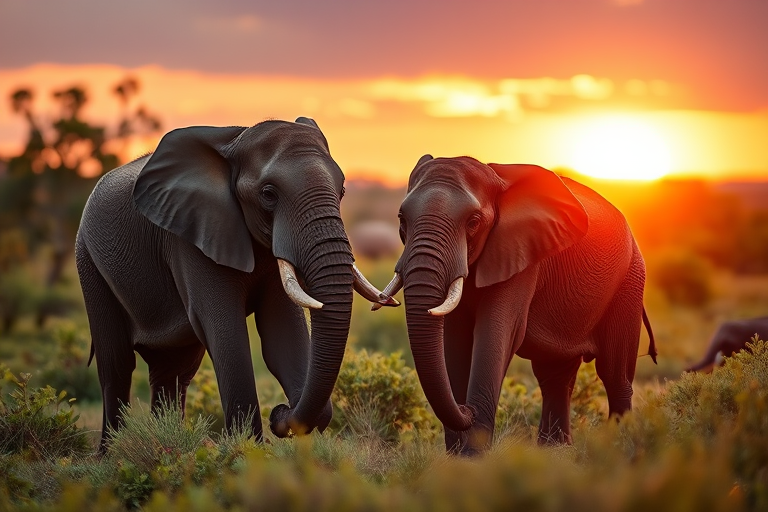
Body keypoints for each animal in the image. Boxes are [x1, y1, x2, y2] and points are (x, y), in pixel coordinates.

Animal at [75, 117, 397, 451]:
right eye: (268, 194)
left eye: (343, 190)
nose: (279, 412)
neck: (236, 141)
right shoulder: (190, 237)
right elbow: (226, 331)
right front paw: (248, 451)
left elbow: (281, 335)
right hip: (88, 260)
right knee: (117, 366)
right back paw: (110, 453)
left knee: (173, 370)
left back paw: (167, 442)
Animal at [375, 155, 657, 455]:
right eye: (402, 219)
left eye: (473, 221)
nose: (467, 409)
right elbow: (454, 339)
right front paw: (457, 457)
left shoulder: (522, 255)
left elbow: (497, 333)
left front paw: (473, 458)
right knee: (554, 374)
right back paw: (555, 450)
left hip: (630, 281)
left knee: (614, 374)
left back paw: (617, 447)